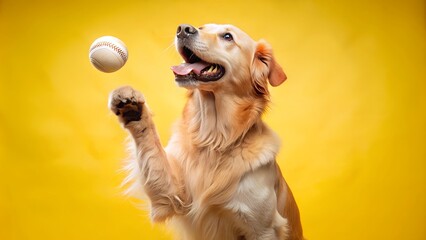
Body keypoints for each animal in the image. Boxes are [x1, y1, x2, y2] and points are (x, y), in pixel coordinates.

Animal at [109, 23, 302, 240]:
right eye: (202, 27)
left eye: (228, 36)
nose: (183, 29)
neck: (214, 138)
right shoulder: (172, 196)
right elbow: (153, 151)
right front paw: (132, 106)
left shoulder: (263, 229)